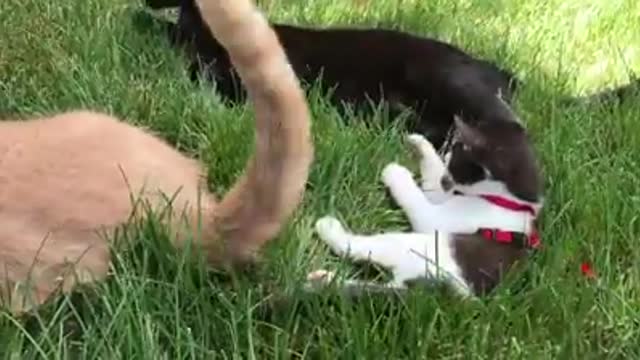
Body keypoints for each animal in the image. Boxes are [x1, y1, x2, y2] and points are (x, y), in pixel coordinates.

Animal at [308, 112, 544, 296]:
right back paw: (322, 279)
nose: (446, 154)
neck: (510, 200)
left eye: (456, 150)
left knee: (360, 248)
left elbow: (418, 199)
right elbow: (432, 179)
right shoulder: (444, 195)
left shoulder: (439, 219)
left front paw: (396, 172)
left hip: (420, 247)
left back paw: (329, 229)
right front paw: (420, 144)